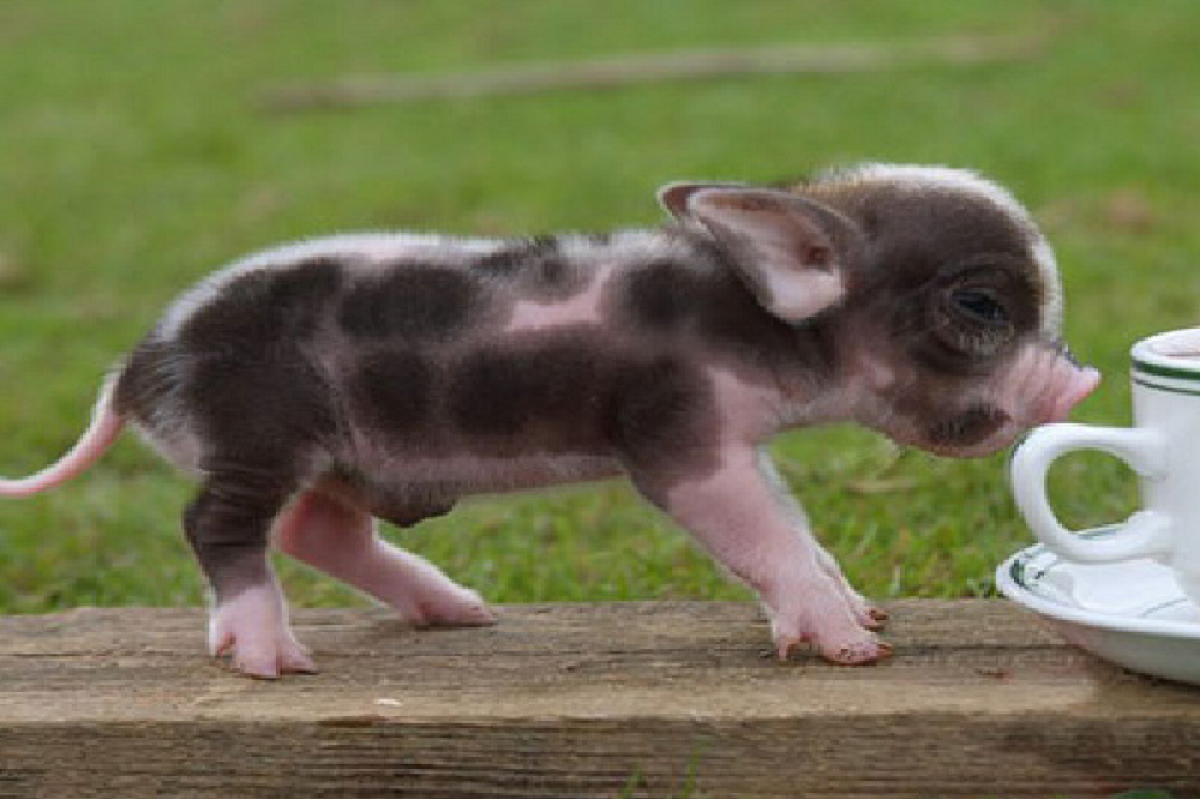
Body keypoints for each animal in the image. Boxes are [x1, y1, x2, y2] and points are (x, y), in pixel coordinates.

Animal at [0, 163, 1099, 678]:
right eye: (979, 305)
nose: (1082, 384)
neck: (745, 320)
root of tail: (141, 363)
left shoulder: (735, 441)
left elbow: (794, 526)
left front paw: (862, 612)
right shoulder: (676, 437)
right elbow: (764, 535)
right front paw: (854, 649)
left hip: (344, 455)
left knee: (316, 526)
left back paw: (462, 611)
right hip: (258, 435)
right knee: (216, 524)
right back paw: (273, 658)